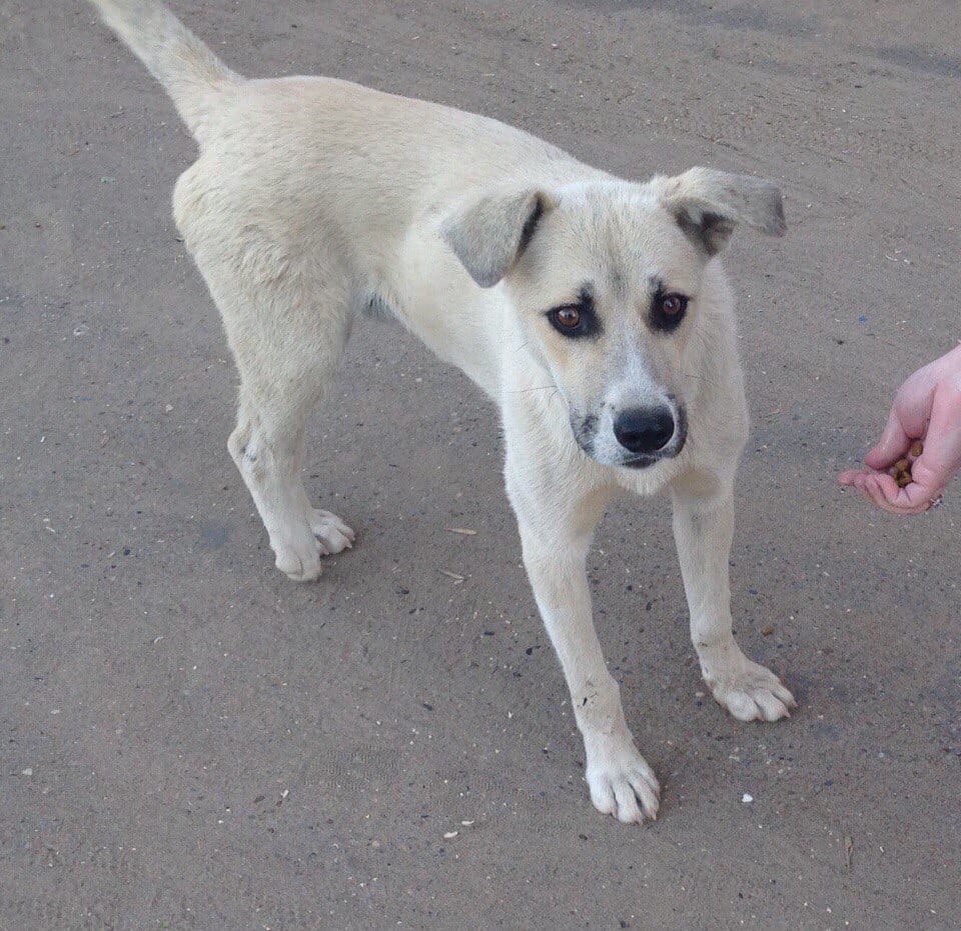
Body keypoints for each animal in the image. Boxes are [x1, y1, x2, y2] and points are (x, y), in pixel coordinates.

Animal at [90, 0, 795, 824]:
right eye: (567, 317)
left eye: (674, 305)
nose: (646, 430)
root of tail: (236, 100)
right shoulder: (551, 545)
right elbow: (592, 682)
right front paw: (615, 765)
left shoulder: (708, 496)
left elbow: (711, 613)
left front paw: (733, 680)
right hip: (298, 344)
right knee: (257, 443)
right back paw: (294, 546)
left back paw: (308, 523)